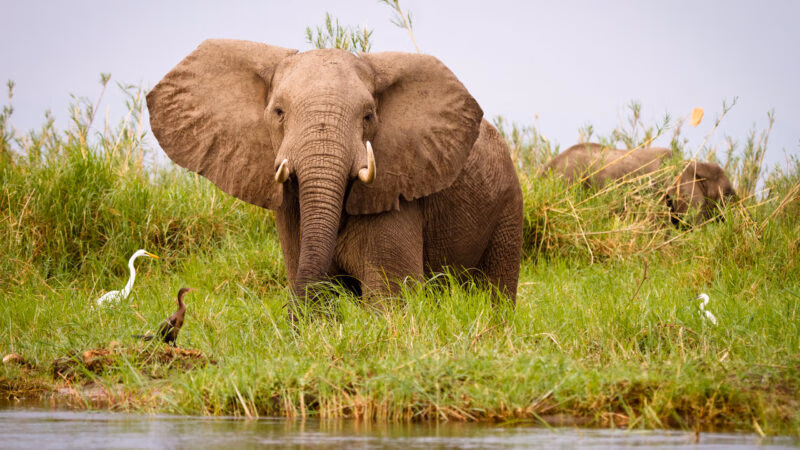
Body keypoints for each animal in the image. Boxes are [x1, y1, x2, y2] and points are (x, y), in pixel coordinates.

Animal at [147, 39, 524, 308]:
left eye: (368, 116)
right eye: (278, 112)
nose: (291, 317)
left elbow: (390, 296)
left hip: (509, 207)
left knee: (496, 291)